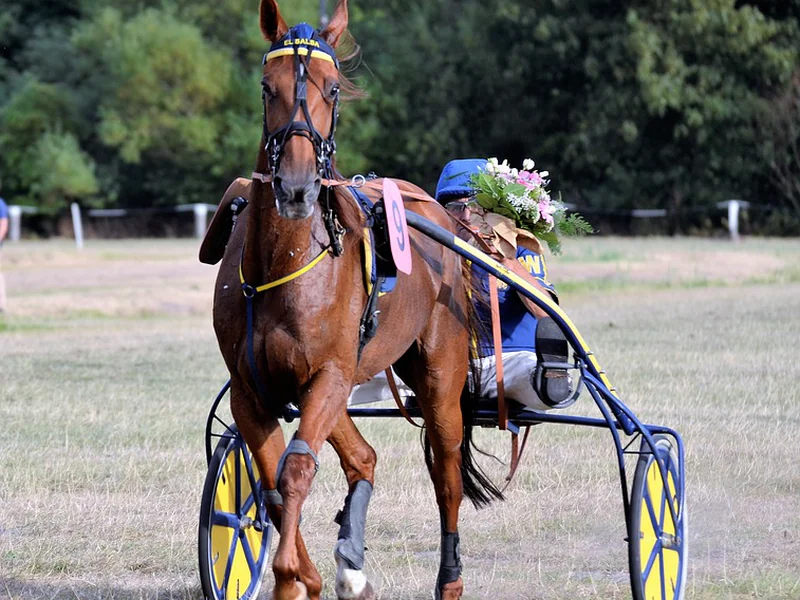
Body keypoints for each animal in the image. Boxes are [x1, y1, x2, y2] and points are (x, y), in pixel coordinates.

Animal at [203, 2, 500, 596]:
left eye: (333, 88)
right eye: (267, 87)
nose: (296, 187)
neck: (284, 263)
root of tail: (440, 214)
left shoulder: (329, 375)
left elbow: (295, 472)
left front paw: (290, 576)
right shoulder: (255, 389)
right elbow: (272, 483)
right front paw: (308, 575)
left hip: (437, 373)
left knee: (446, 473)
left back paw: (448, 578)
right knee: (363, 457)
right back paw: (350, 560)